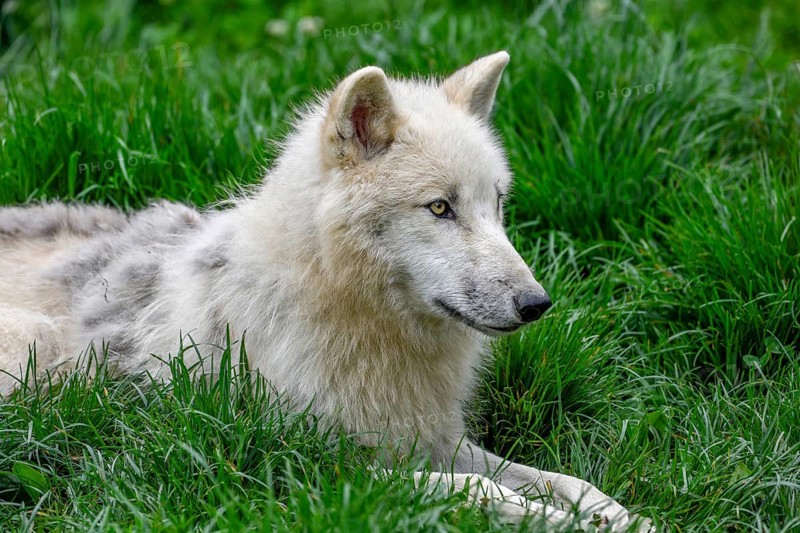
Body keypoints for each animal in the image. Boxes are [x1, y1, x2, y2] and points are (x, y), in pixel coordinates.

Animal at [0, 52, 648, 530]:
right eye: (440, 208)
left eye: (497, 205)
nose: (536, 305)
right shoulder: (307, 467)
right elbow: (482, 491)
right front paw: (557, 521)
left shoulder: (430, 438)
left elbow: (564, 481)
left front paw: (621, 516)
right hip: (35, 350)